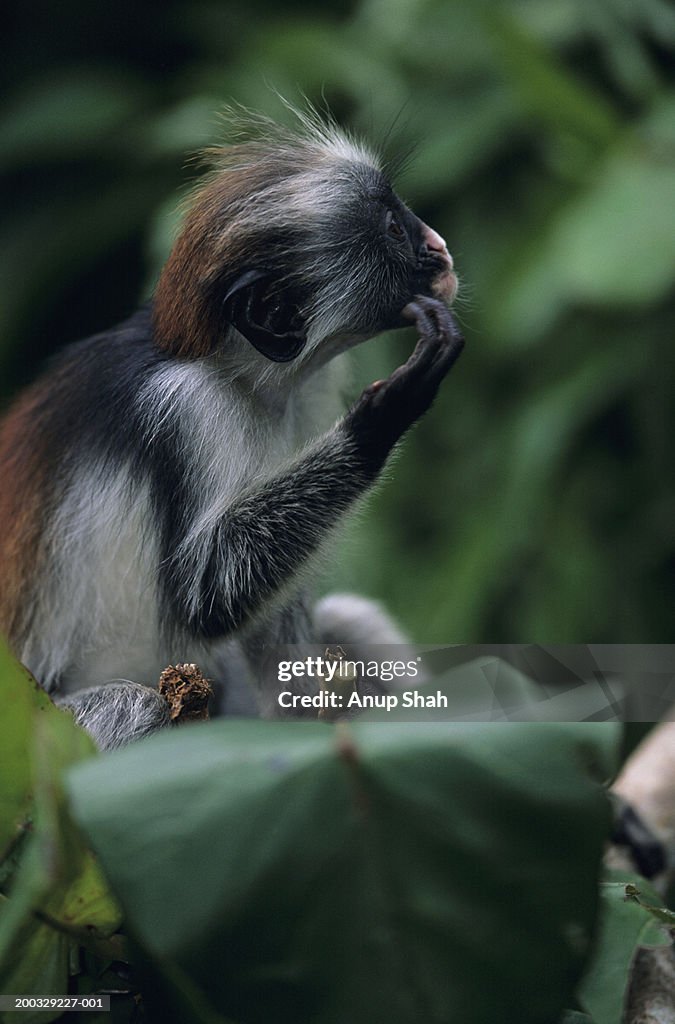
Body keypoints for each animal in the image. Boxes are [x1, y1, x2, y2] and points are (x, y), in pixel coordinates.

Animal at [0, 108, 462, 749]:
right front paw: (389, 409)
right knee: (136, 706)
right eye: (394, 229)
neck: (239, 374)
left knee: (350, 619)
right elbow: (208, 595)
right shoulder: (185, 407)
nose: (439, 246)